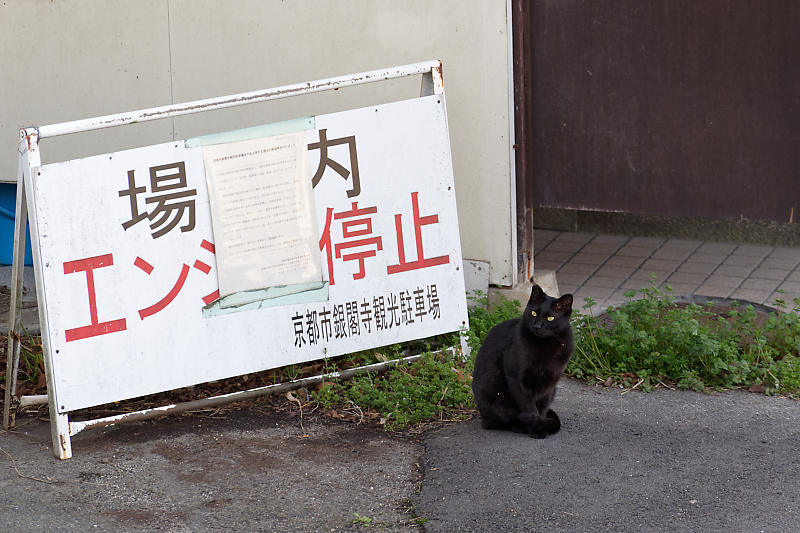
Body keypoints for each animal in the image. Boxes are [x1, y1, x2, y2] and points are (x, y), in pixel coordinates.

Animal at [472, 284, 572, 438]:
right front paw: (537, 429)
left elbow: (542, 408)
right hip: (495, 393)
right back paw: (519, 426)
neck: (545, 346)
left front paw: (540, 425)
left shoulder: (550, 384)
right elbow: (529, 409)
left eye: (550, 318)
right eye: (534, 313)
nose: (537, 326)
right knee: (498, 421)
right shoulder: (516, 379)